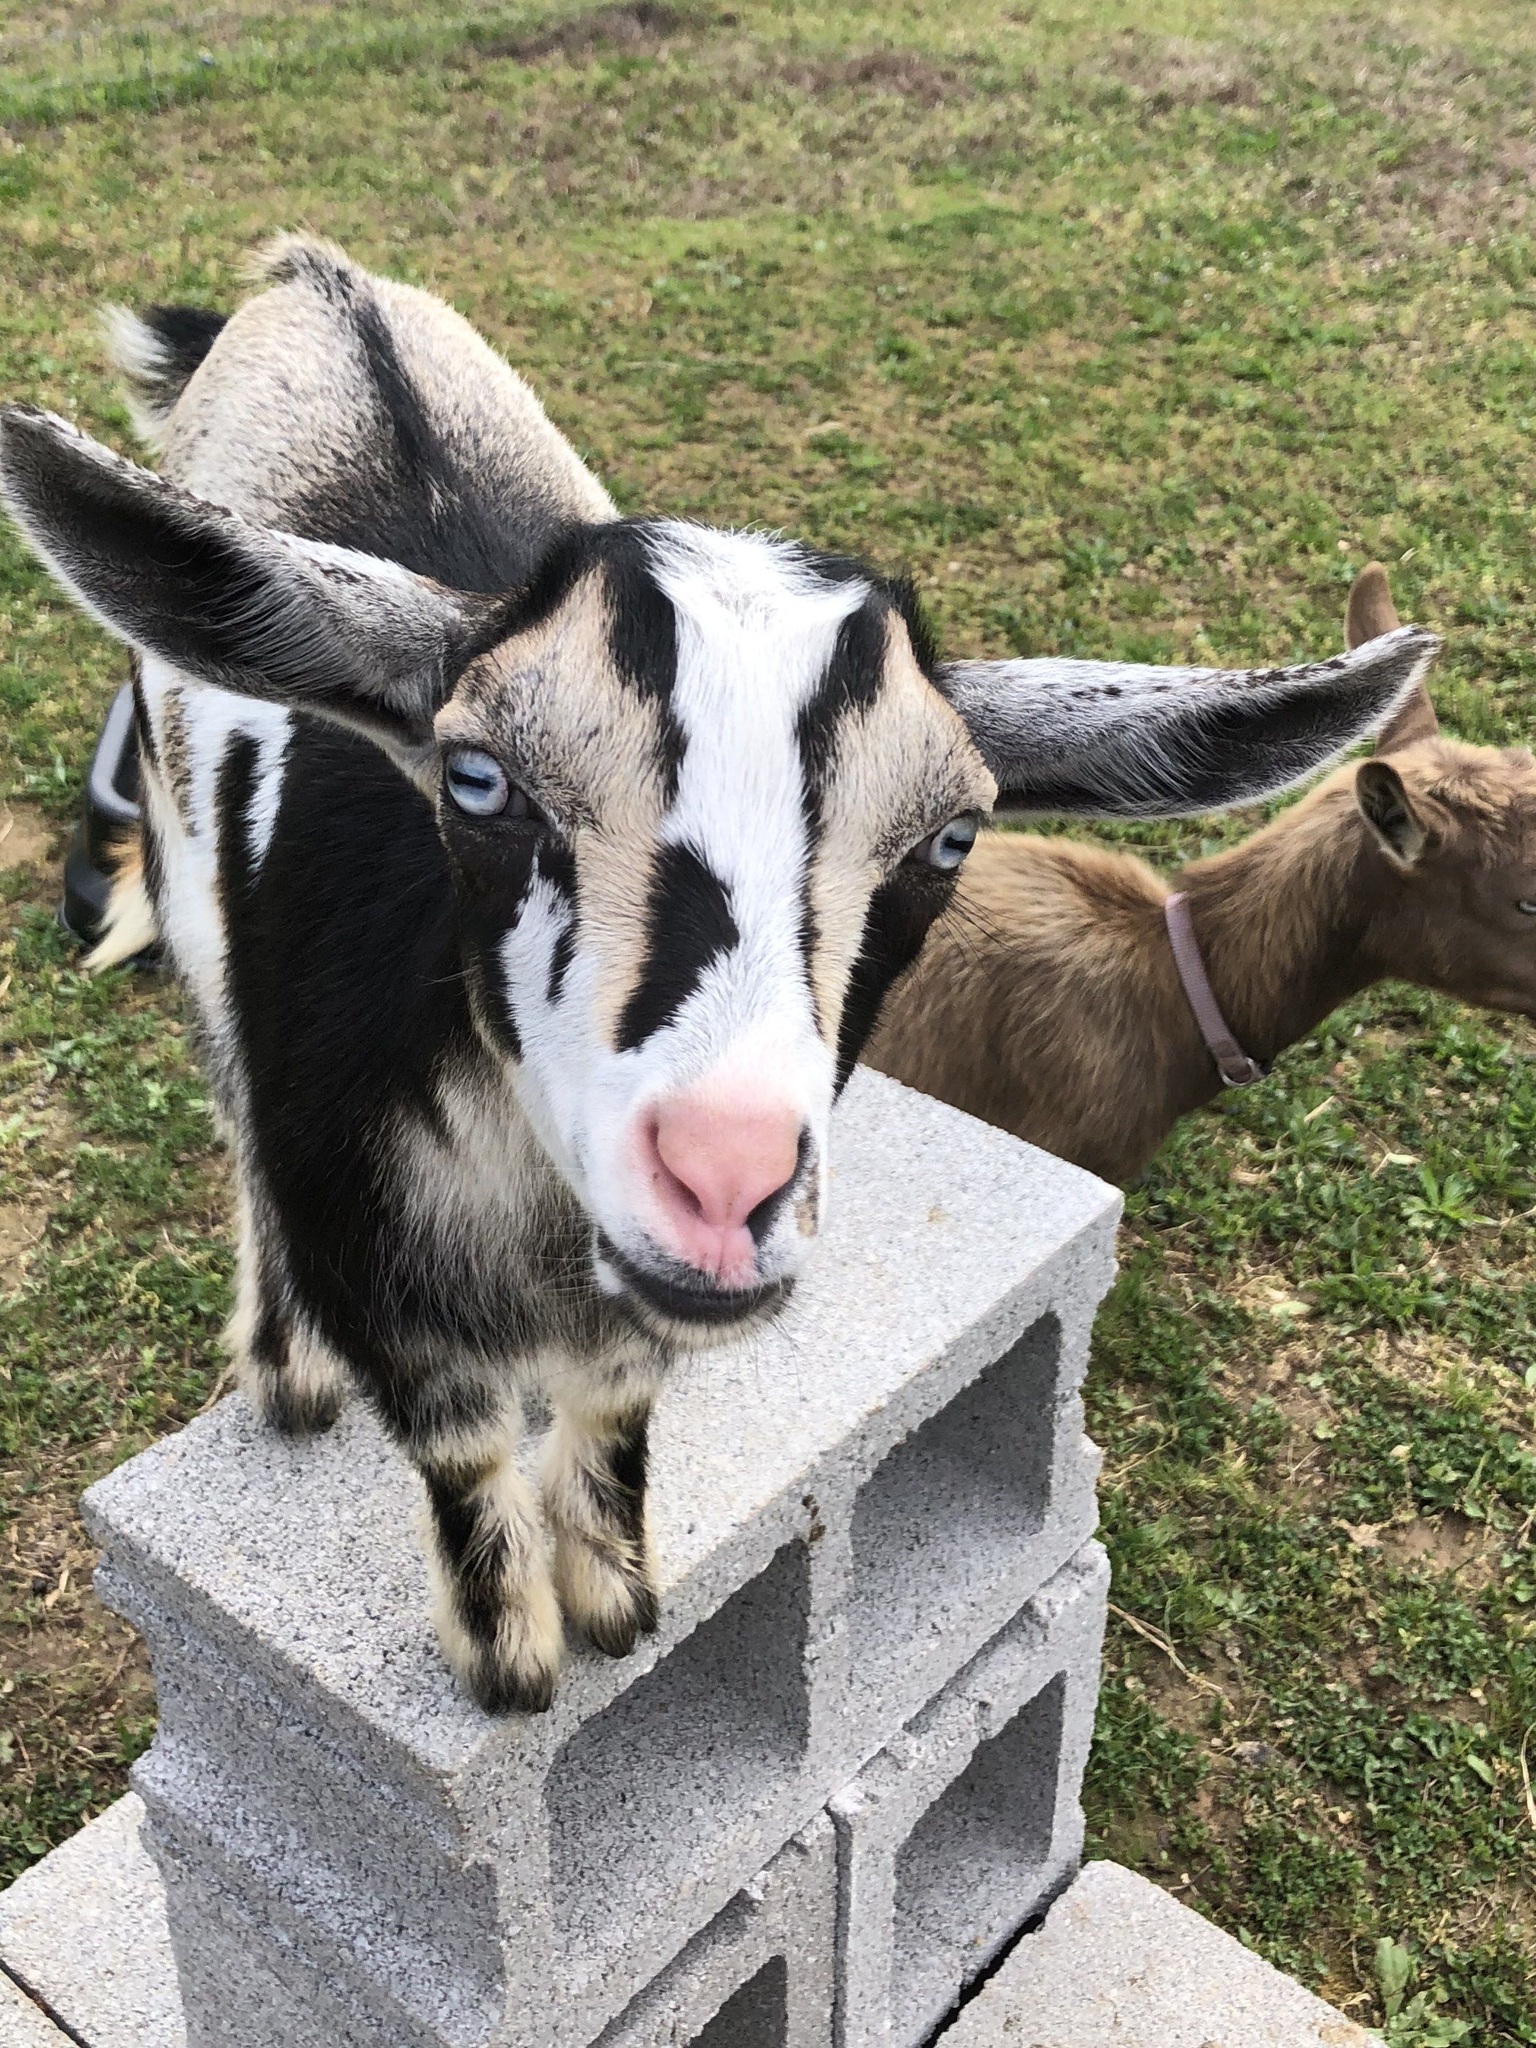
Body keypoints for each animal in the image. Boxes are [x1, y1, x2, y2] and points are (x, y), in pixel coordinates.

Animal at [0, 240, 1435, 1710]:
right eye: (478, 777)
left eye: (952, 838)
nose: (725, 1177)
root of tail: (310, 277)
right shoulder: (381, 1263)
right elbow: (460, 1445)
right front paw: (511, 1658)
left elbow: (614, 1407)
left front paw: (616, 1598)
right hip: (184, 870)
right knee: (225, 1079)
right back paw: (285, 1370)